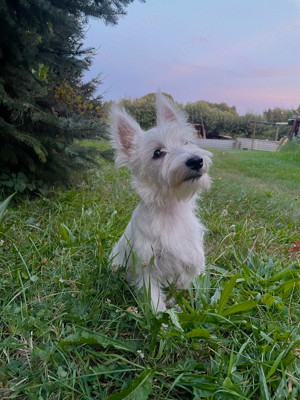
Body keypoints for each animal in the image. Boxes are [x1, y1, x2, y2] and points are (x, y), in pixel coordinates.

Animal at [109, 91, 211, 312]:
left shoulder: (189, 262)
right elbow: (155, 302)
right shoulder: (147, 269)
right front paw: (163, 319)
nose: (196, 160)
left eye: (185, 143)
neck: (170, 210)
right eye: (157, 153)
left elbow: (180, 285)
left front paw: (176, 305)